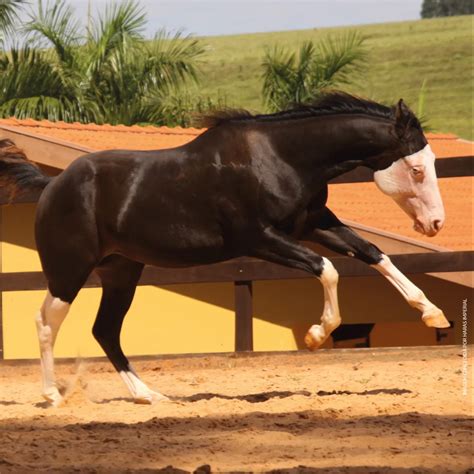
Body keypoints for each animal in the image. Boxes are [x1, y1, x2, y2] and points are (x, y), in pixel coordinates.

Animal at [0, 93, 448, 408]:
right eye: (416, 169)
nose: (435, 224)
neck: (280, 158)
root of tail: (51, 186)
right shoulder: (260, 239)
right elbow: (327, 269)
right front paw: (316, 335)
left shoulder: (314, 225)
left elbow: (373, 254)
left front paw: (433, 313)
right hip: (69, 270)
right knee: (46, 322)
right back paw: (53, 397)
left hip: (121, 271)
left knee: (105, 330)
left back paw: (149, 395)